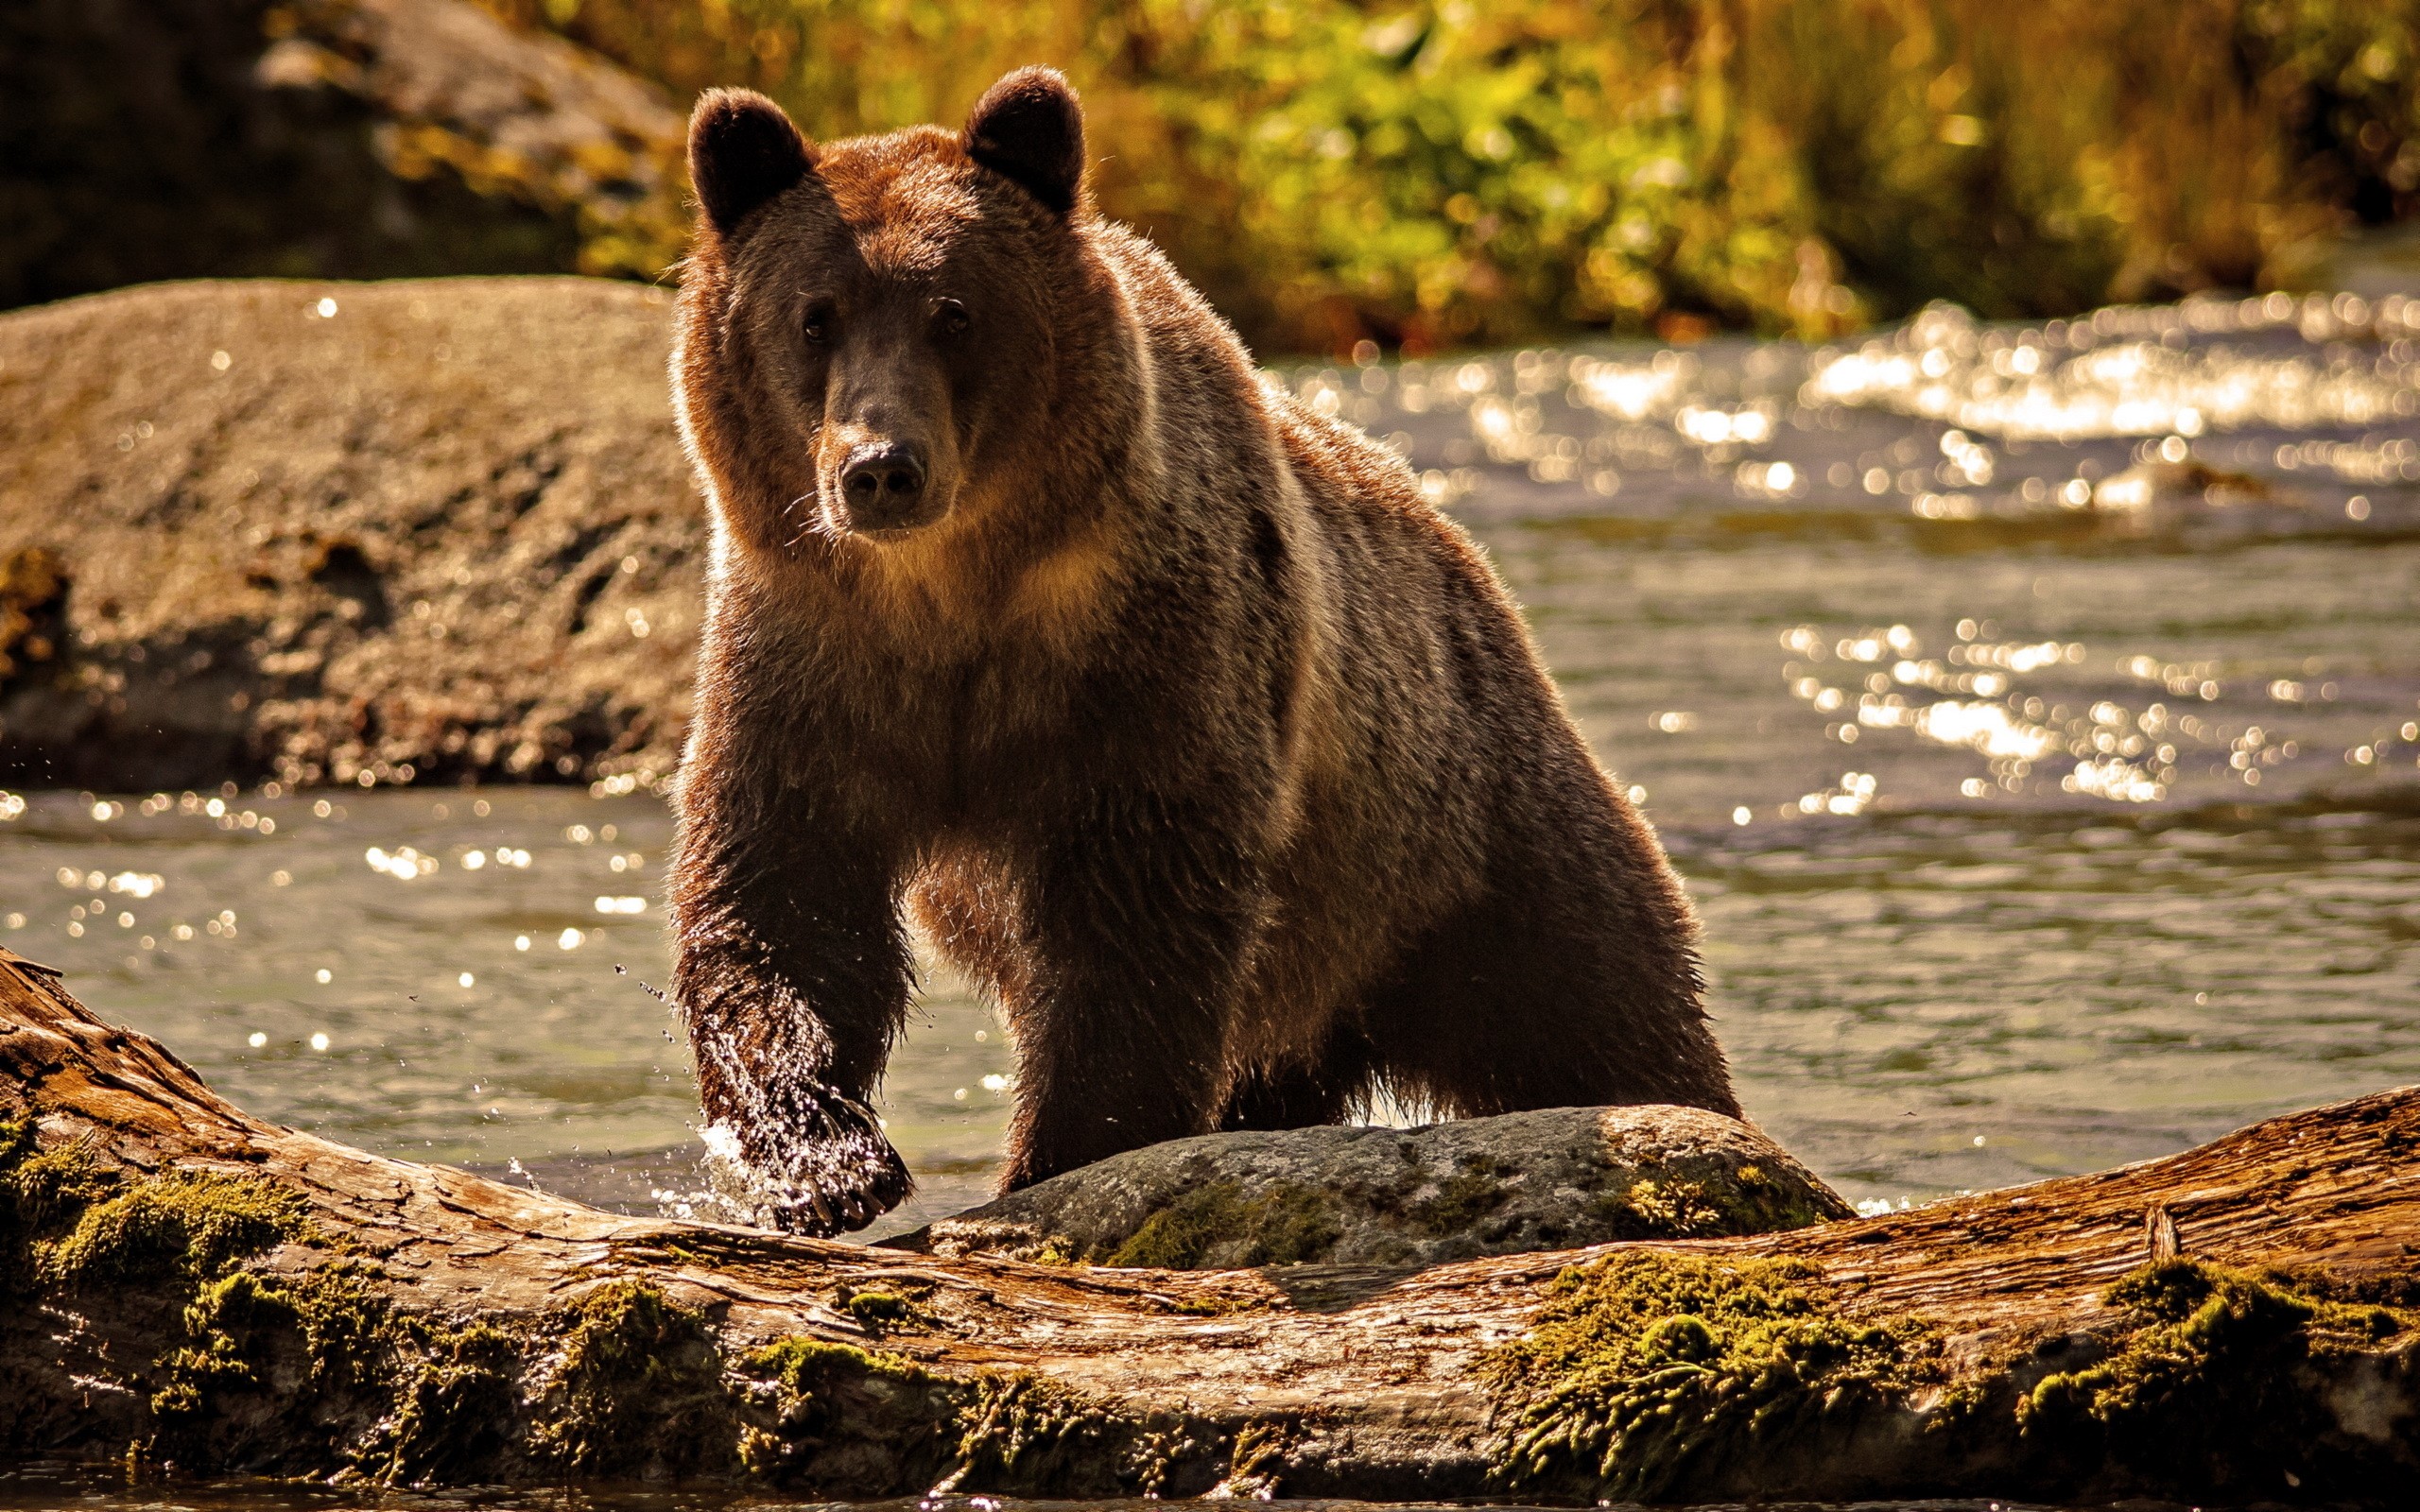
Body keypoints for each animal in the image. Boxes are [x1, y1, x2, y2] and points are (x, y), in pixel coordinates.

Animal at [667, 67, 1740, 1236]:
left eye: (952, 311)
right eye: (813, 316)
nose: (880, 468)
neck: (952, 596)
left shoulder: (1151, 658)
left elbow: (1136, 919)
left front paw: (1058, 1155)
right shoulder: (810, 656)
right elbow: (784, 895)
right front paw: (821, 1161)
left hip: (1462, 833)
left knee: (1597, 1004)